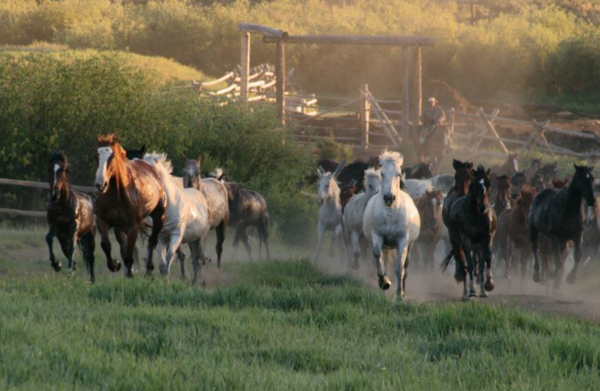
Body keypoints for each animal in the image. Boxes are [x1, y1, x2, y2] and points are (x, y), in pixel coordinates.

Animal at [45, 152, 96, 284]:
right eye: (49, 169)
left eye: (62, 170)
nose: (55, 195)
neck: (62, 205)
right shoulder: (55, 227)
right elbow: (49, 239)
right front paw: (56, 264)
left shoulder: (74, 228)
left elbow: (72, 248)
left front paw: (69, 269)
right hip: (63, 238)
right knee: (66, 250)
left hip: (90, 235)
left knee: (90, 257)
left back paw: (92, 279)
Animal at [95, 135, 168, 278]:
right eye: (97, 155)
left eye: (112, 156)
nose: (101, 184)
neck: (117, 195)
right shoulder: (105, 221)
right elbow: (107, 245)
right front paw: (115, 265)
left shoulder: (132, 225)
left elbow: (129, 252)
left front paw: (129, 274)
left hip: (159, 218)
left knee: (152, 241)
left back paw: (148, 271)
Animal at [144, 152, 211, 284]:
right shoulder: (160, 238)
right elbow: (162, 264)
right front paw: (164, 281)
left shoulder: (176, 236)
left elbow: (169, 258)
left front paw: (167, 280)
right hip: (191, 239)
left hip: (200, 238)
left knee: (197, 261)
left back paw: (195, 283)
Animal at [360, 152, 422, 300]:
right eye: (382, 173)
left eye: (398, 174)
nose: (389, 198)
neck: (390, 214)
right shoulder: (377, 236)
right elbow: (378, 257)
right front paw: (384, 282)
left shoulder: (402, 241)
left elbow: (399, 269)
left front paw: (399, 295)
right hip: (385, 246)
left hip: (410, 246)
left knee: (405, 267)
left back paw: (403, 292)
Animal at [440, 165, 496, 300]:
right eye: (475, 184)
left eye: (489, 184)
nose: (482, 207)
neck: (477, 216)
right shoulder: (465, 239)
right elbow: (469, 264)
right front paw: (472, 290)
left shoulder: (487, 237)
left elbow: (486, 259)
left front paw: (488, 285)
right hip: (456, 242)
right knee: (463, 263)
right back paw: (465, 292)